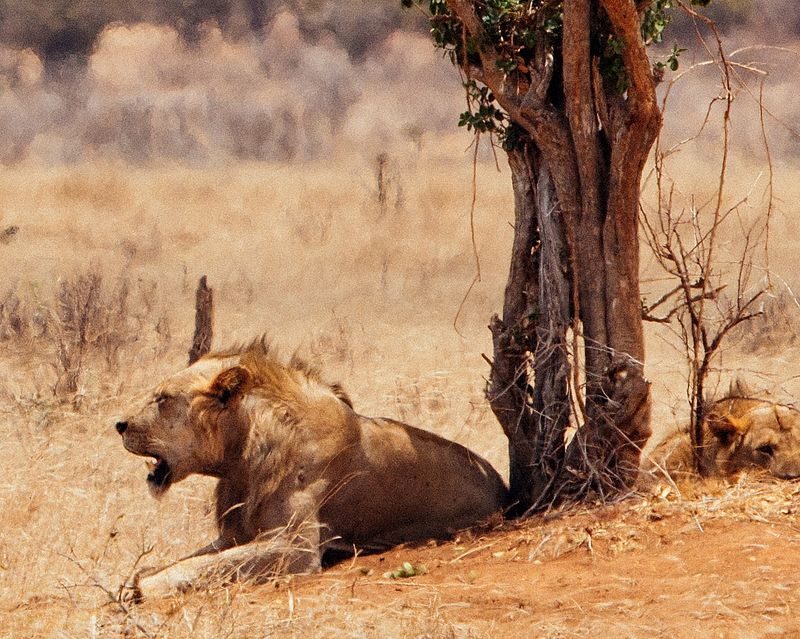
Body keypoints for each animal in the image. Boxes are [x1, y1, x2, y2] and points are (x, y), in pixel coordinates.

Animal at [115, 339, 508, 599]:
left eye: (162, 399)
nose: (118, 425)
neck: (239, 460)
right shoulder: (235, 534)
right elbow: (204, 558)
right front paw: (141, 574)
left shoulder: (296, 547)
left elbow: (214, 565)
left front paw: (144, 586)